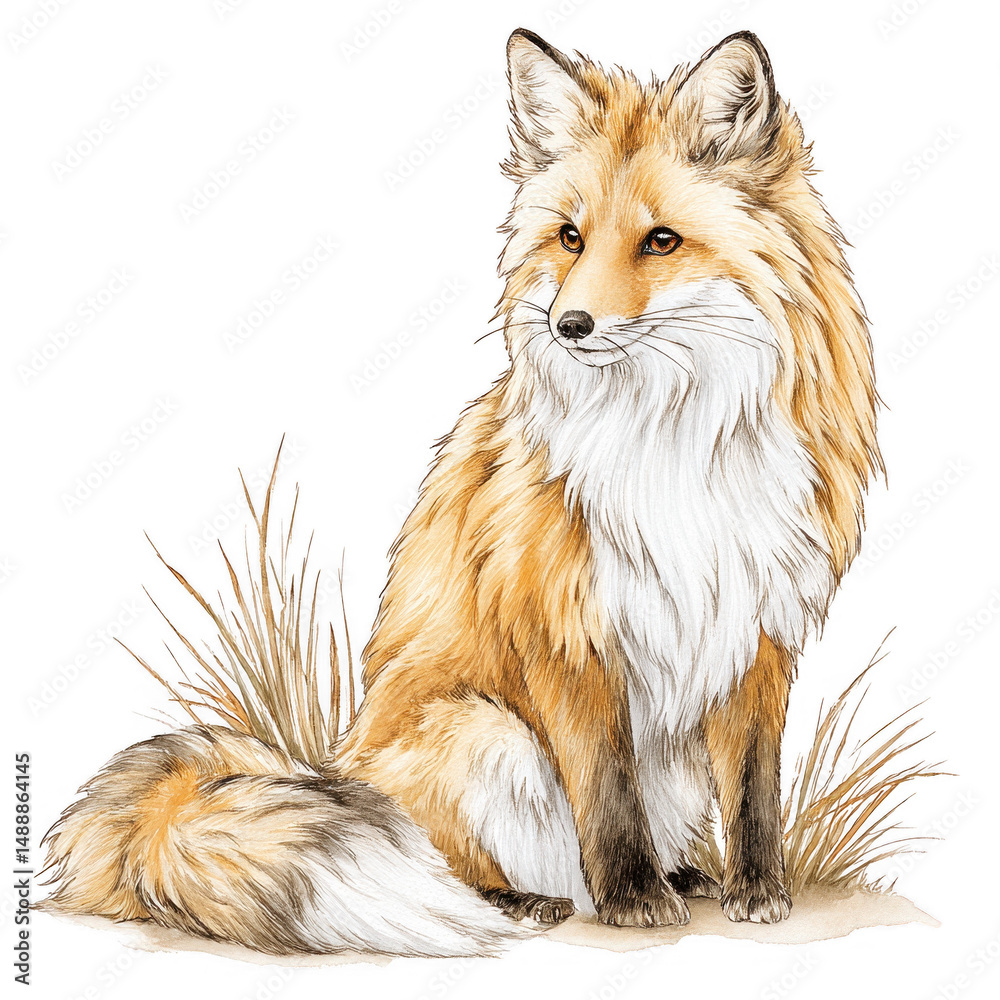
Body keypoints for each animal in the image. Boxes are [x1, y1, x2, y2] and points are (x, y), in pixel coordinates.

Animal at [41, 29, 880, 956]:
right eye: (570, 238)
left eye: (661, 241)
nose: (569, 325)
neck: (674, 442)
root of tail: (334, 762)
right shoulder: (568, 631)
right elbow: (607, 791)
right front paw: (633, 900)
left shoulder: (760, 630)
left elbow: (754, 790)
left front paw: (757, 889)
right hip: (485, 733)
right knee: (454, 863)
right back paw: (530, 901)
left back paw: (686, 873)